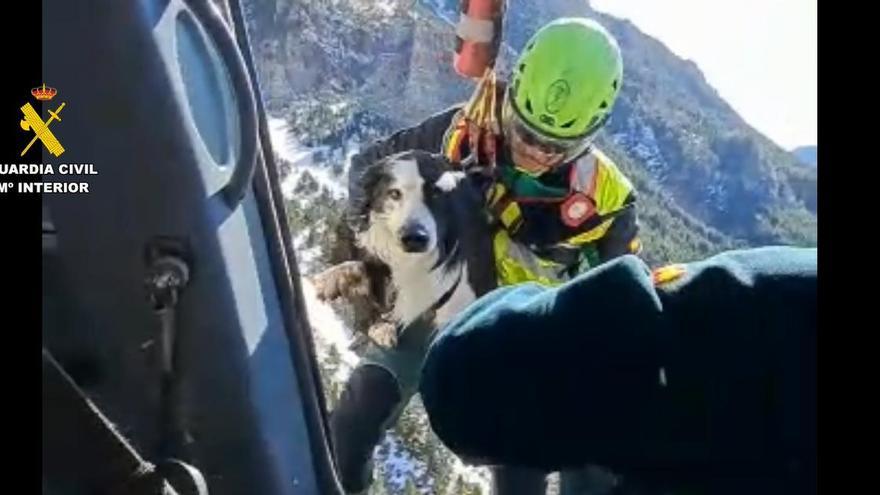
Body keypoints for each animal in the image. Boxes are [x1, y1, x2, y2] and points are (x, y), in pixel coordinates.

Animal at [314, 149, 496, 346]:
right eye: (394, 193)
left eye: (438, 193)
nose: (414, 238)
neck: (412, 263)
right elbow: (358, 269)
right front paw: (329, 280)